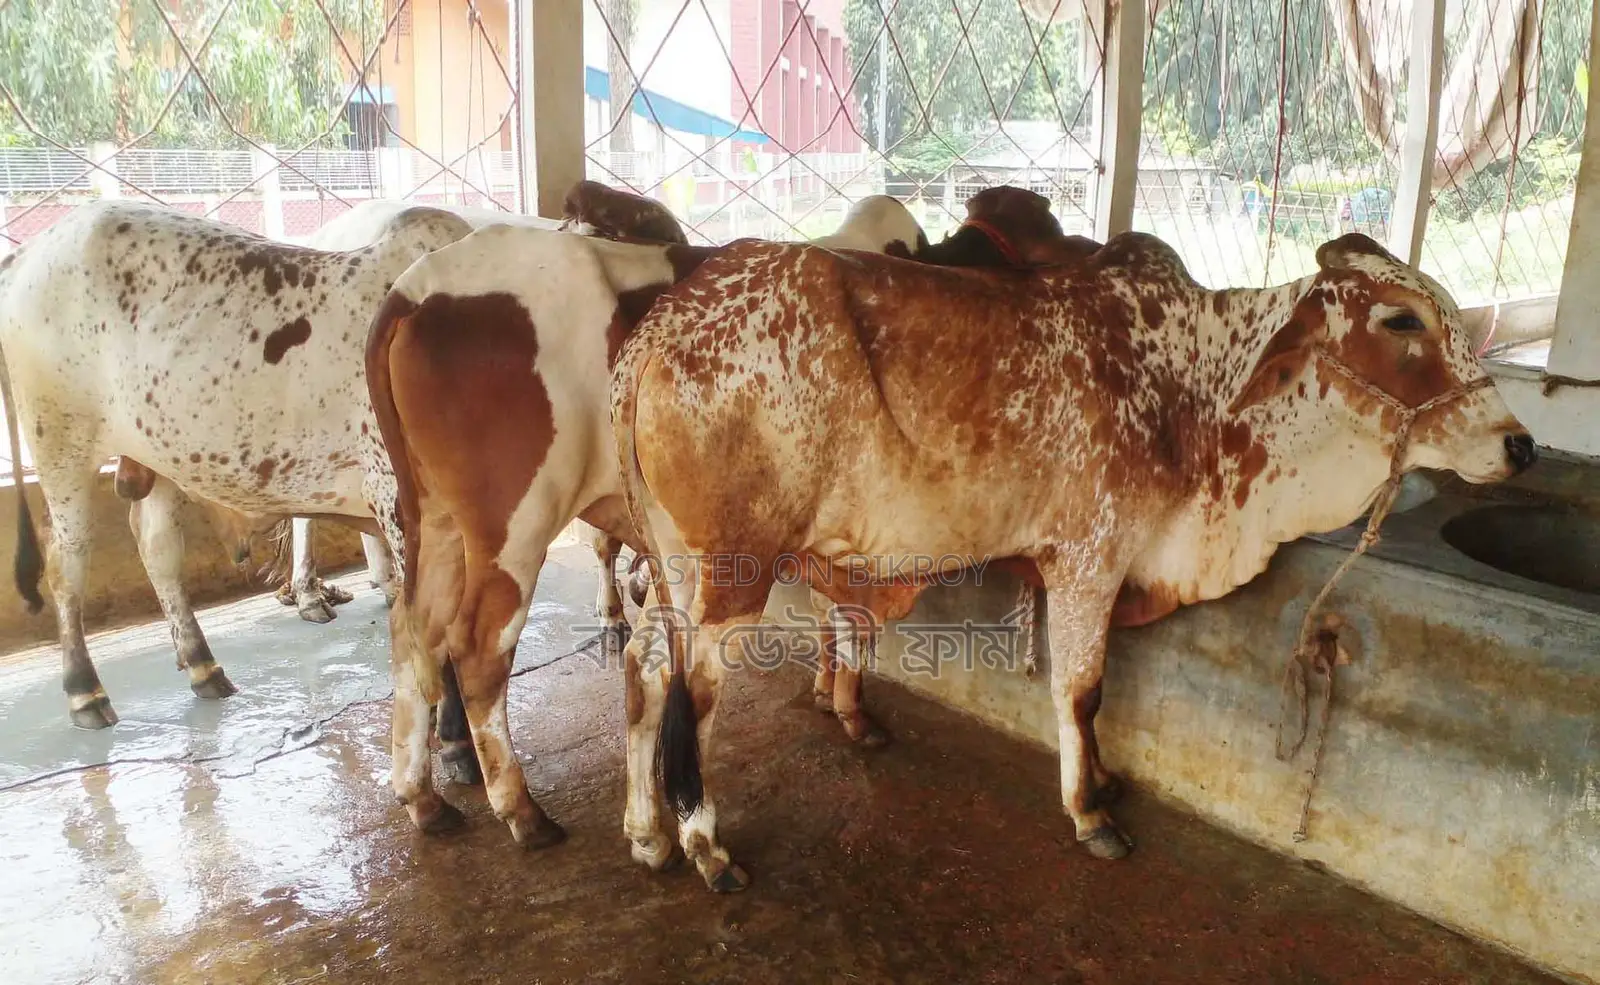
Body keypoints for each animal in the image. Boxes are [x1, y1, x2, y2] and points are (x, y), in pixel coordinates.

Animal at [0, 200, 477, 728]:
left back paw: (202, 665)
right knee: (67, 563)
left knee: (158, 549)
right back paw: (85, 691)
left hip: (161, 453)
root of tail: (27, 254)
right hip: (61, 446)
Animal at [608, 231, 1536, 891]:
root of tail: (660, 328)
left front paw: (1105, 781)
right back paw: (704, 844)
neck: (1189, 389)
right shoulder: (1089, 556)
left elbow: (1099, 692)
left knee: (644, 667)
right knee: (696, 691)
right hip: (734, 571)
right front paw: (1090, 812)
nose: (1520, 444)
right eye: (1402, 320)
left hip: (674, 566)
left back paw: (648, 834)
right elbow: (1080, 688)